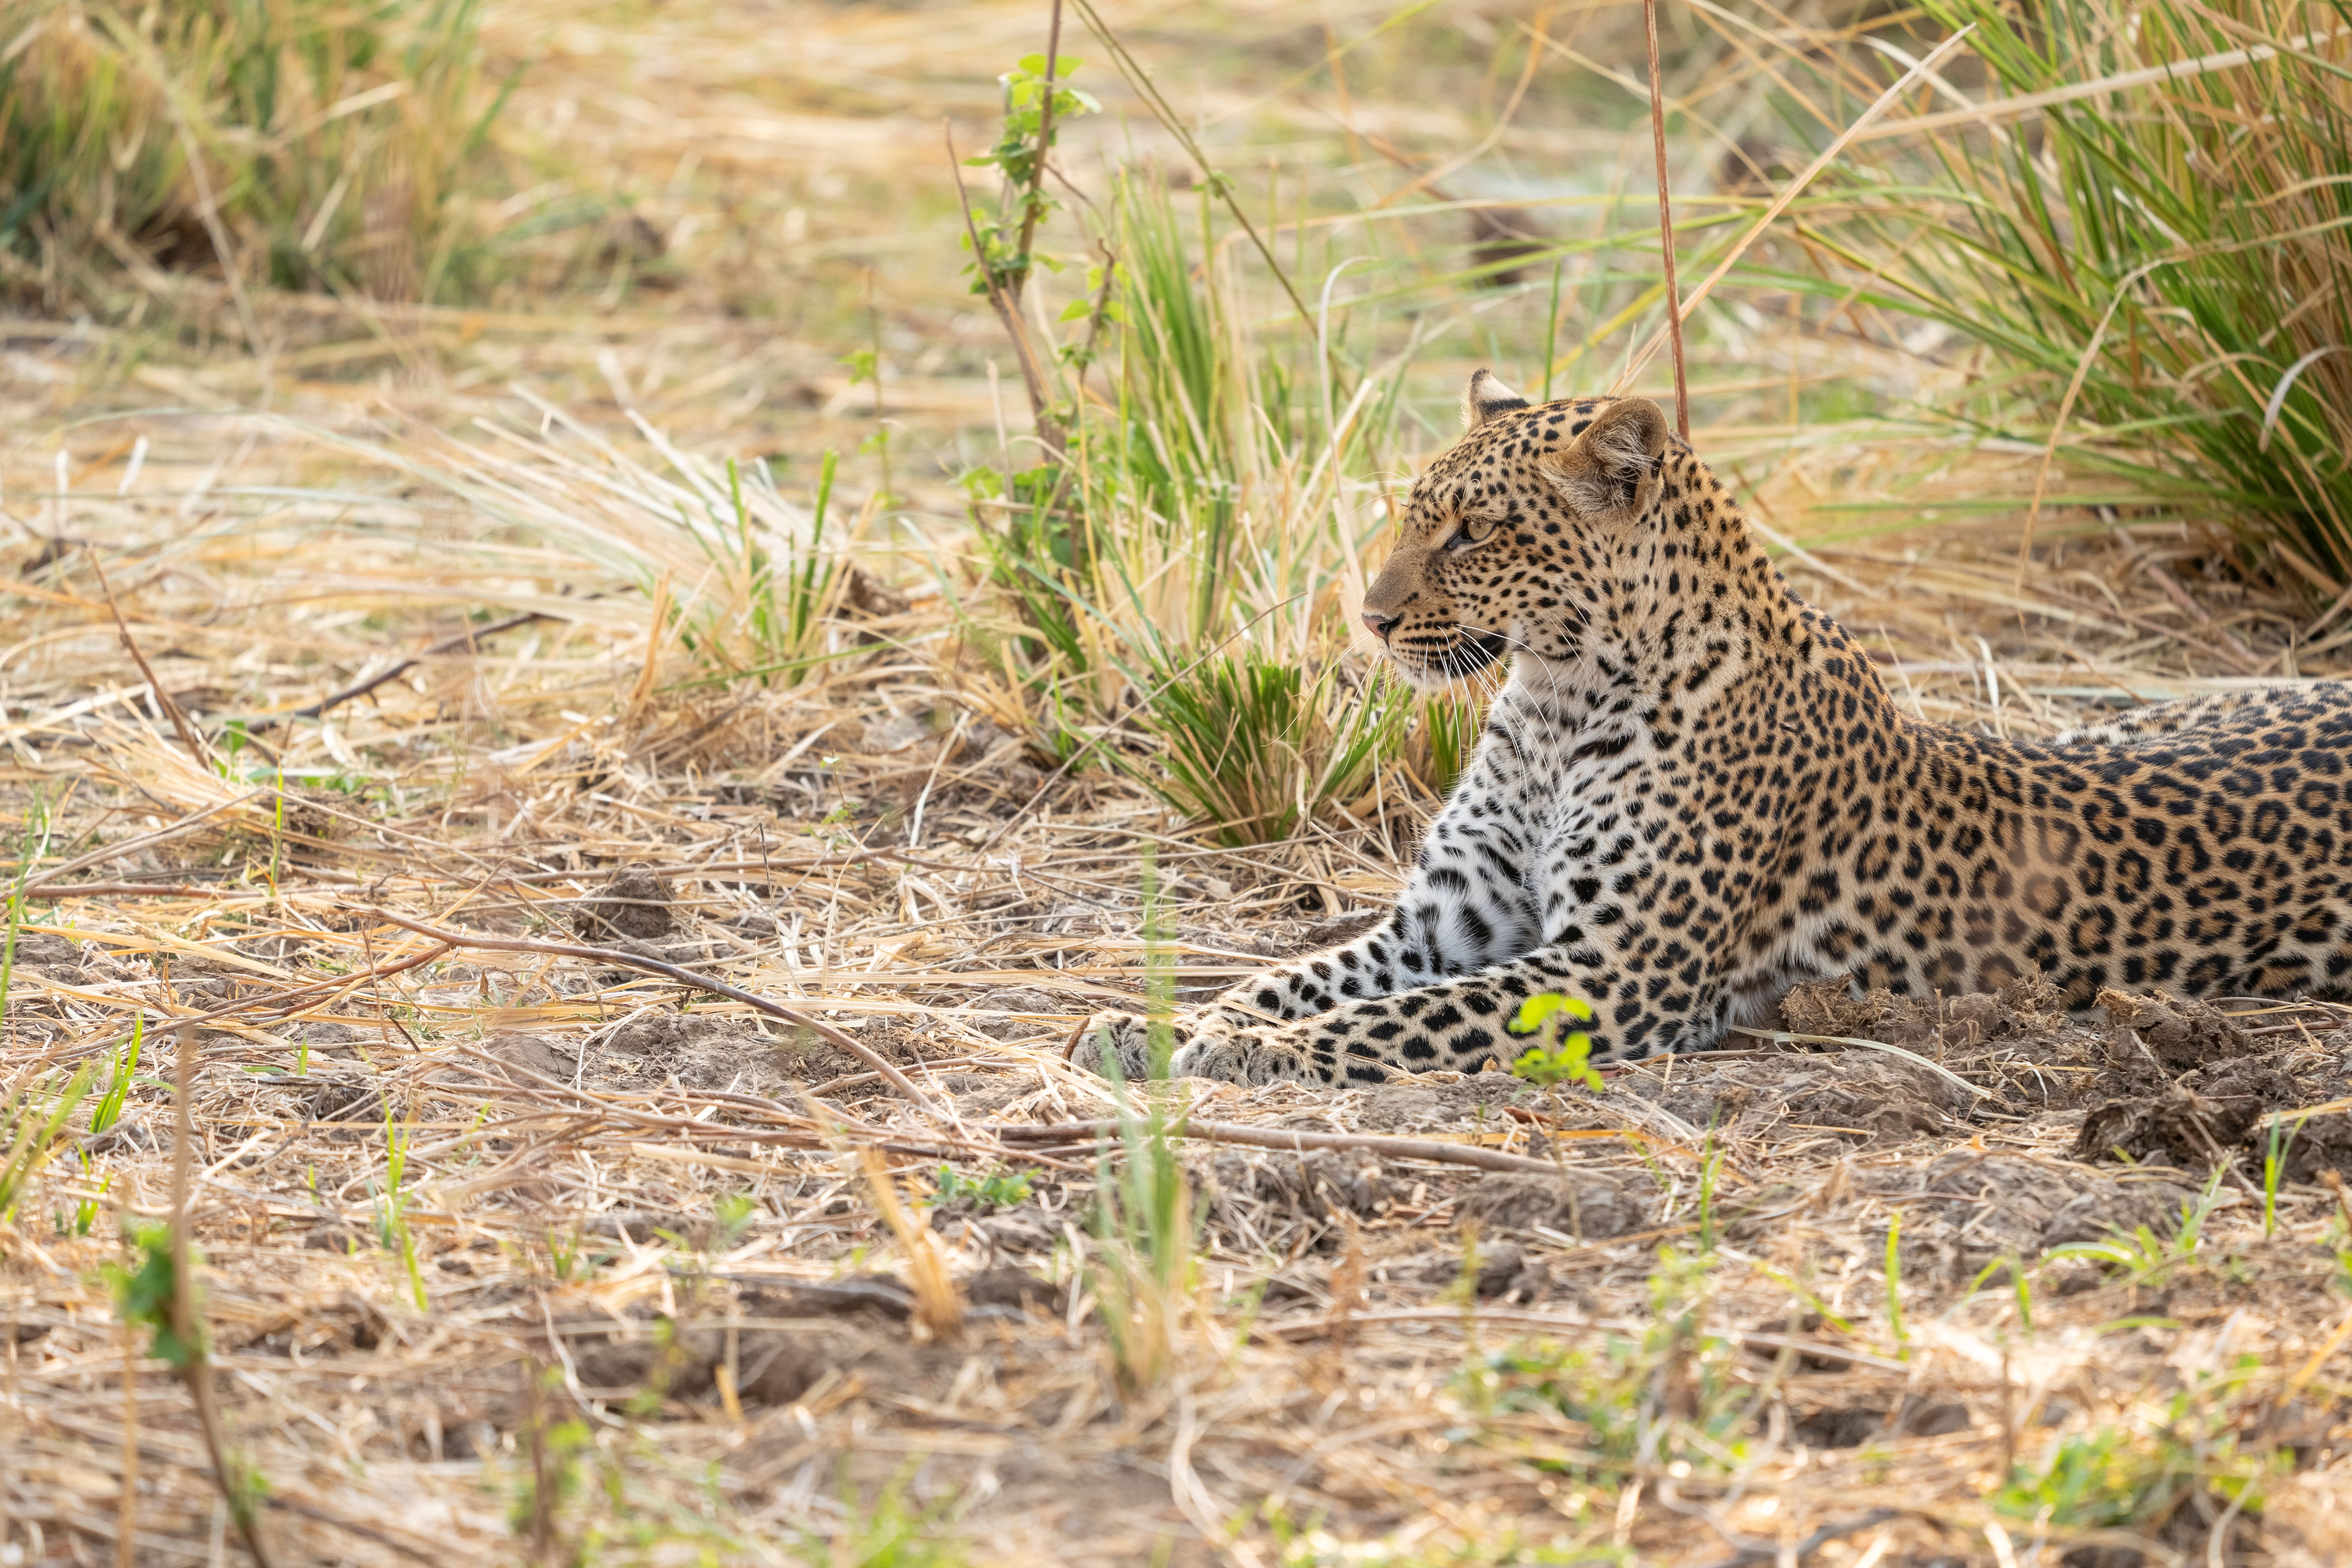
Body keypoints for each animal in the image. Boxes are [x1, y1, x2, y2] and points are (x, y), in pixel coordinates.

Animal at [1076, 369, 2352, 1087]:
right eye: (1412, 516)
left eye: (1472, 533)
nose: (1371, 618)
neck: (1554, 703)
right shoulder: (1444, 923)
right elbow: (1290, 976)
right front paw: (1150, 1024)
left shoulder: (1612, 969)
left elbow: (1394, 1020)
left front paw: (1253, 1053)